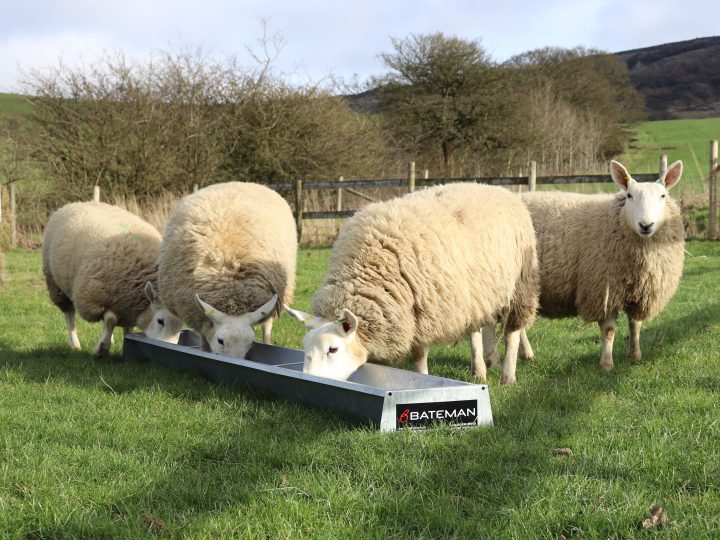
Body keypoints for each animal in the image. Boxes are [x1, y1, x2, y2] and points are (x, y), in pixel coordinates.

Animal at [42, 201, 184, 357]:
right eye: (160, 321)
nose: (168, 350)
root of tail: (76, 203)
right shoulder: (95, 300)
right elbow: (110, 320)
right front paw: (101, 349)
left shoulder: (128, 306)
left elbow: (126, 328)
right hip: (56, 285)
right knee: (69, 315)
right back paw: (74, 343)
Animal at [158, 181, 297, 359]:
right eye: (221, 341)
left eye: (251, 342)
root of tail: (240, 182)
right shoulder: (198, 315)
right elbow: (204, 340)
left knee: (267, 325)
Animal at [285, 182, 539, 384]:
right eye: (305, 346)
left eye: (333, 349)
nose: (308, 380)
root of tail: (494, 187)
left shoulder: (424, 311)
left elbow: (419, 355)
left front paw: (423, 378)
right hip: (478, 291)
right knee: (478, 328)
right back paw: (481, 370)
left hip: (521, 285)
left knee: (513, 332)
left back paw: (508, 376)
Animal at [505, 160, 685, 372]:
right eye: (629, 195)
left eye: (663, 195)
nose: (646, 225)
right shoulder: (602, 290)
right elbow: (609, 330)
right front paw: (606, 364)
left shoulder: (640, 292)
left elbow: (635, 325)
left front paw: (635, 356)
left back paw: (526, 354)